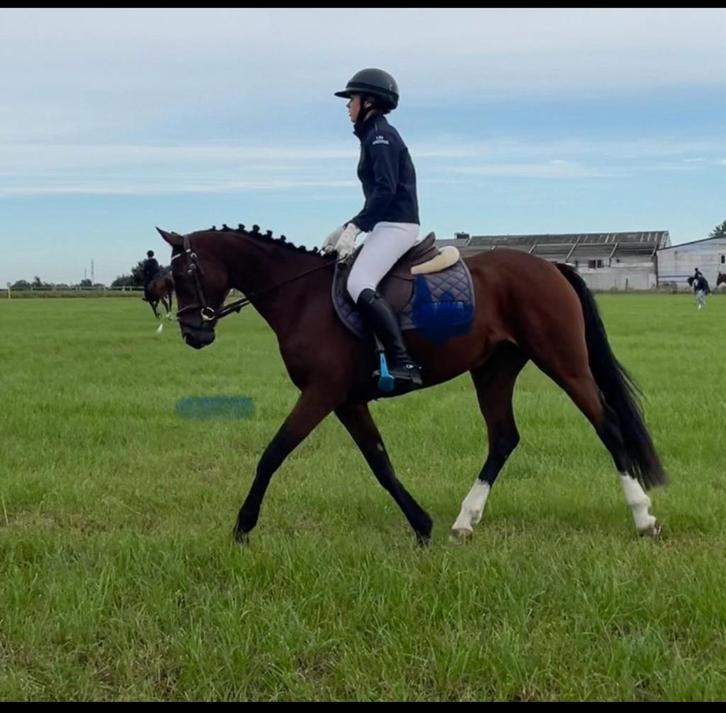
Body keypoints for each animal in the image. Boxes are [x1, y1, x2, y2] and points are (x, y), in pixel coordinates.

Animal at [157, 223, 667, 546]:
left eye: (183, 274)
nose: (193, 334)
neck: (300, 296)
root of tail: (551, 267)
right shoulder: (347, 401)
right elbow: (380, 463)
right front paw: (421, 525)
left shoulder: (321, 393)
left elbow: (273, 453)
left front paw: (242, 527)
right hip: (494, 370)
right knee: (503, 438)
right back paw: (464, 522)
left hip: (563, 361)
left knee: (608, 426)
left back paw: (643, 518)